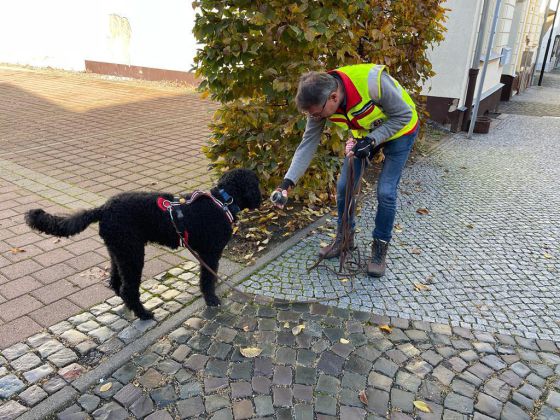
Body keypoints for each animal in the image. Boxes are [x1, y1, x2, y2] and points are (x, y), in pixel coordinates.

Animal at [25, 169, 262, 320]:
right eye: (257, 183)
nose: (262, 199)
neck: (223, 200)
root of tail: (104, 208)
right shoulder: (210, 253)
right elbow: (207, 278)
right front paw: (211, 298)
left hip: (118, 253)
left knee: (116, 283)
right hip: (133, 255)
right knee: (128, 289)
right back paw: (143, 314)